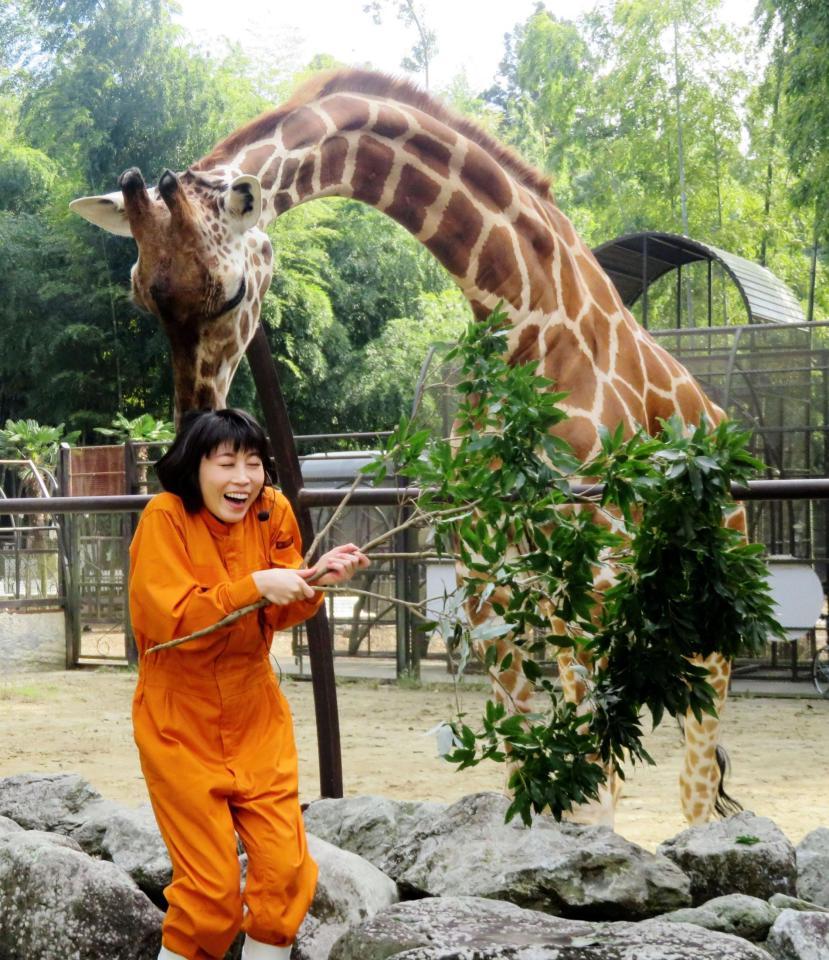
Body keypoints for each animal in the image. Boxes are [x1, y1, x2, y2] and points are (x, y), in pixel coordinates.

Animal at [73, 67, 744, 824]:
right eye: (140, 298)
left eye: (234, 292)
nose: (192, 423)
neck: (525, 315)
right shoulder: (487, 574)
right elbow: (528, 763)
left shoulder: (594, 567)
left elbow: (592, 785)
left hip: (706, 610)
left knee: (694, 771)